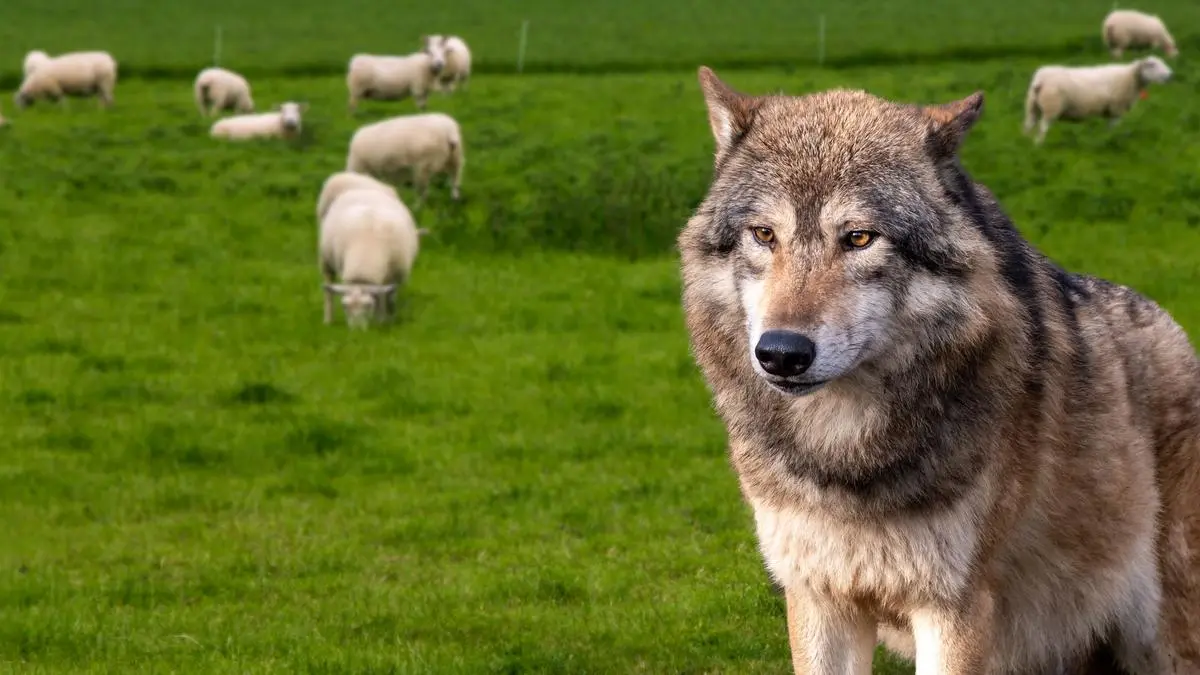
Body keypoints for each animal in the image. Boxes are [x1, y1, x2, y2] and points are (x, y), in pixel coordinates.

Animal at [677, 66, 1200, 674]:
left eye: (859, 238)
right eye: (764, 234)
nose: (782, 352)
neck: (845, 457)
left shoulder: (954, 609)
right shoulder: (818, 598)